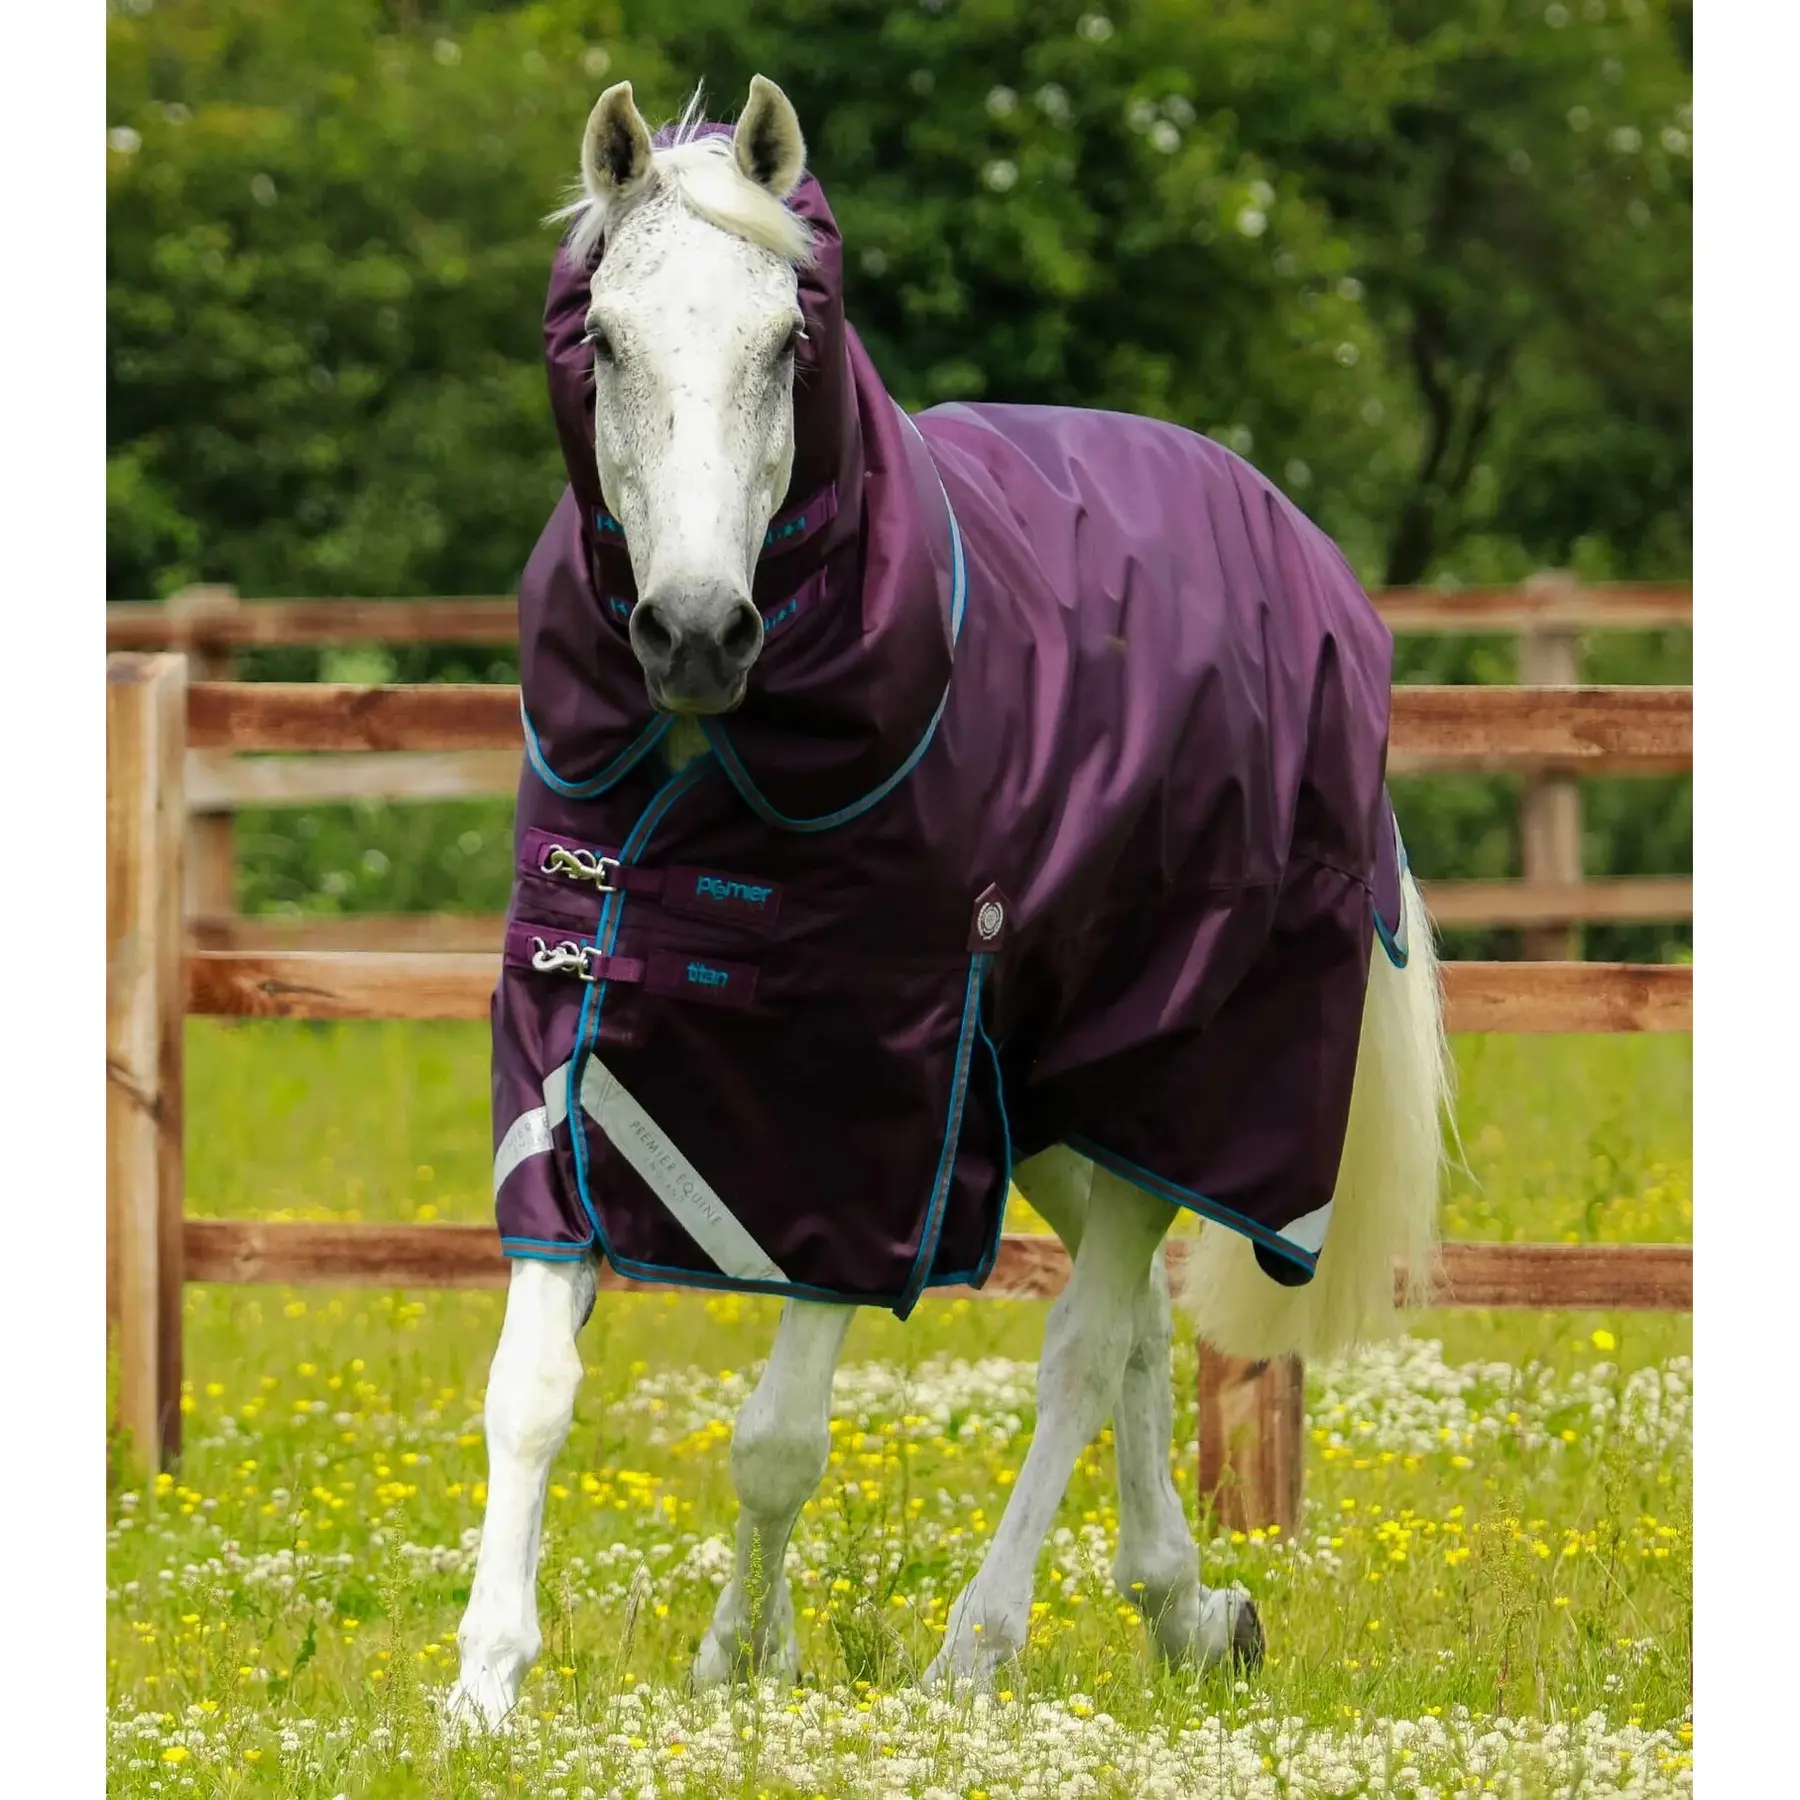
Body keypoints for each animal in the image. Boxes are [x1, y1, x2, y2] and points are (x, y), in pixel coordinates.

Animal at [447, 76, 1450, 1729]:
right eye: (607, 339)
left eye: (787, 343)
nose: (697, 631)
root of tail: (1299, 549)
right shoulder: (574, 1059)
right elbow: (529, 1389)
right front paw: (486, 1682)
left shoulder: (870, 1108)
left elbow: (778, 1436)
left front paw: (741, 1657)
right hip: (1049, 1101)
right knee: (1143, 1329)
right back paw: (1186, 1606)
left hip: (1171, 1071)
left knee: (1085, 1341)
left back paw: (982, 1645)